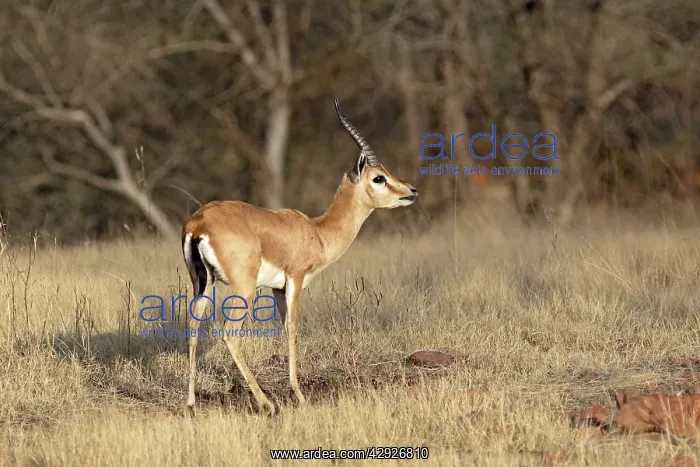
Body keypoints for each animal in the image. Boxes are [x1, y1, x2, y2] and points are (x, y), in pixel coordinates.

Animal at [181, 98, 418, 415]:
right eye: (378, 178)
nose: (412, 191)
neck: (317, 232)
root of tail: (199, 223)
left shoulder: (277, 289)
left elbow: (284, 329)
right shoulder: (294, 280)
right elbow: (292, 329)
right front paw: (300, 396)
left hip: (203, 283)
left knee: (193, 326)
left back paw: (191, 402)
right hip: (243, 289)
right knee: (230, 333)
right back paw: (266, 403)